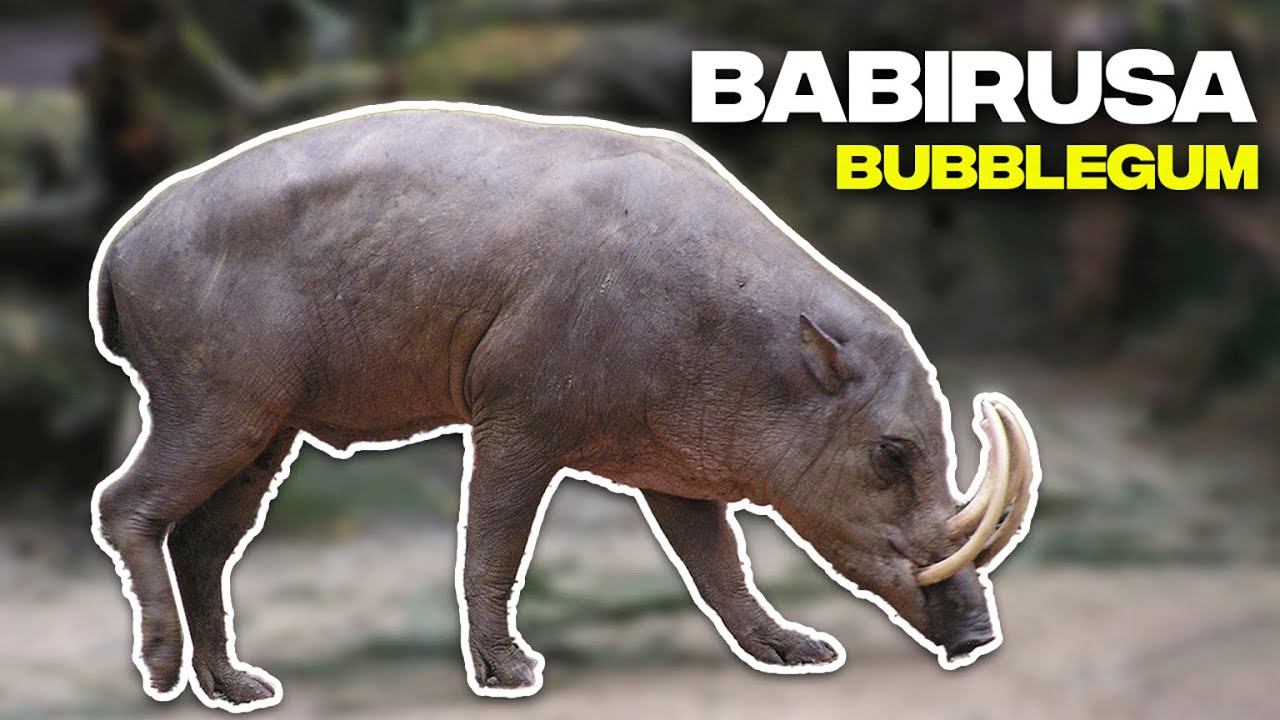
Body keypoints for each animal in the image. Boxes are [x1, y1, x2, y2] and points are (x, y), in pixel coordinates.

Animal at [89, 101, 1040, 712]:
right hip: (213, 402)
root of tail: (117, 249)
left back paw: (235, 687)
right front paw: (508, 673)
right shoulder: (520, 420)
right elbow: (495, 542)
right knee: (125, 505)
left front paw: (791, 648)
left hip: (266, 429)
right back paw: (163, 670)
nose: (976, 635)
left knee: (204, 543)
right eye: (892, 453)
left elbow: (717, 562)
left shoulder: (676, 465)